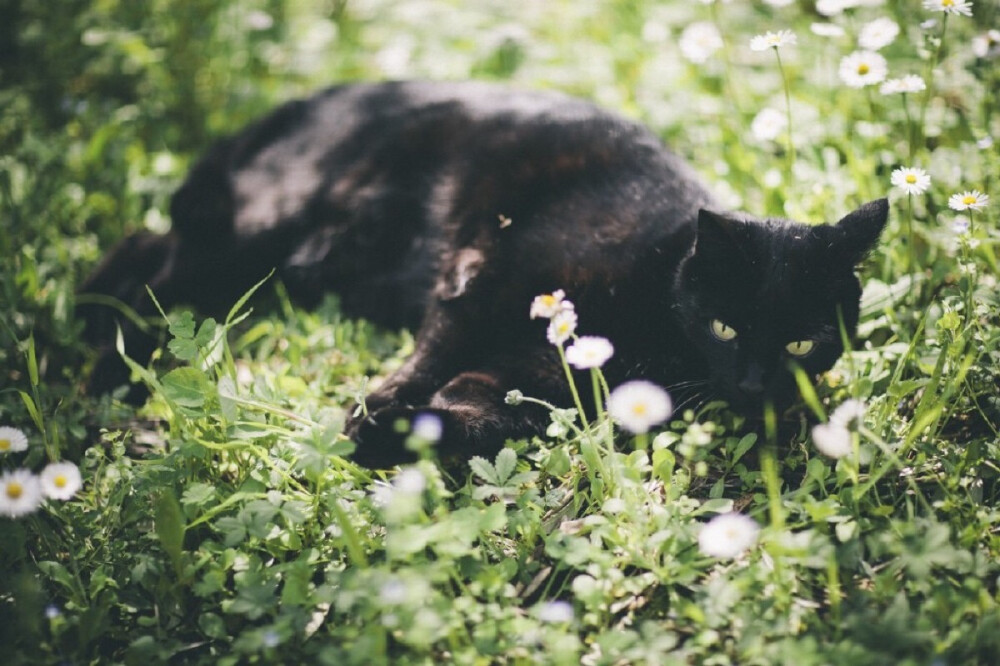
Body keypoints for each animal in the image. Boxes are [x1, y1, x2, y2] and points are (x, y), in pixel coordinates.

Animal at [80, 80, 892, 466]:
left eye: (802, 343)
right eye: (724, 327)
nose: (755, 384)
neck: (652, 303)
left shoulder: (539, 379)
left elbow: (479, 413)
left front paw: (396, 433)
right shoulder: (481, 273)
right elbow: (432, 353)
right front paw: (374, 413)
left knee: (146, 247)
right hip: (256, 229)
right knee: (153, 264)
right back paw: (99, 371)